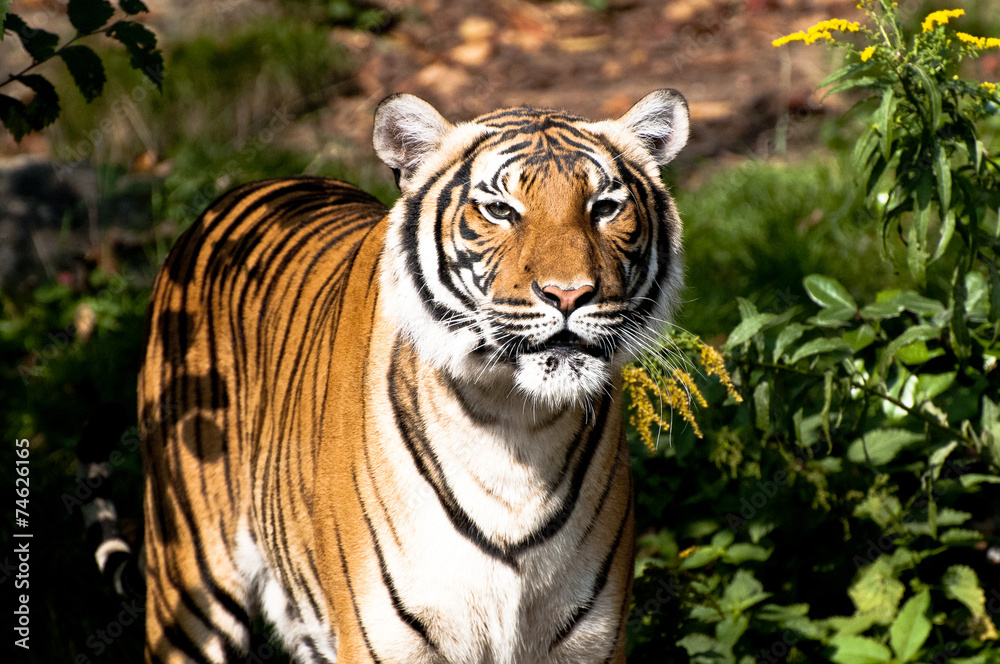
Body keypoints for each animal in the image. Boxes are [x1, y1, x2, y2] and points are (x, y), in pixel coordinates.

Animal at [137, 88, 689, 663]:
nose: (569, 294)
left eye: (604, 208)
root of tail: (248, 188)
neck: (517, 426)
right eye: (500, 210)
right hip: (189, 589)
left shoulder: (591, 642)